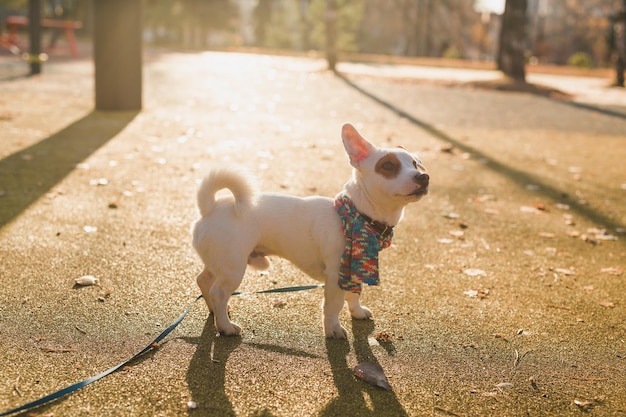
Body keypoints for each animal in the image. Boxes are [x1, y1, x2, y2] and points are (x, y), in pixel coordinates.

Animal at [193, 123, 426, 338]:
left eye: (415, 164)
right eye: (388, 165)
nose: (423, 177)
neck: (357, 215)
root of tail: (209, 208)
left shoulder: (352, 270)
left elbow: (354, 294)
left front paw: (357, 312)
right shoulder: (336, 276)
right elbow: (333, 306)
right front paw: (333, 330)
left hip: (220, 263)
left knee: (204, 281)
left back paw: (215, 312)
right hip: (233, 268)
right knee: (218, 292)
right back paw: (225, 326)